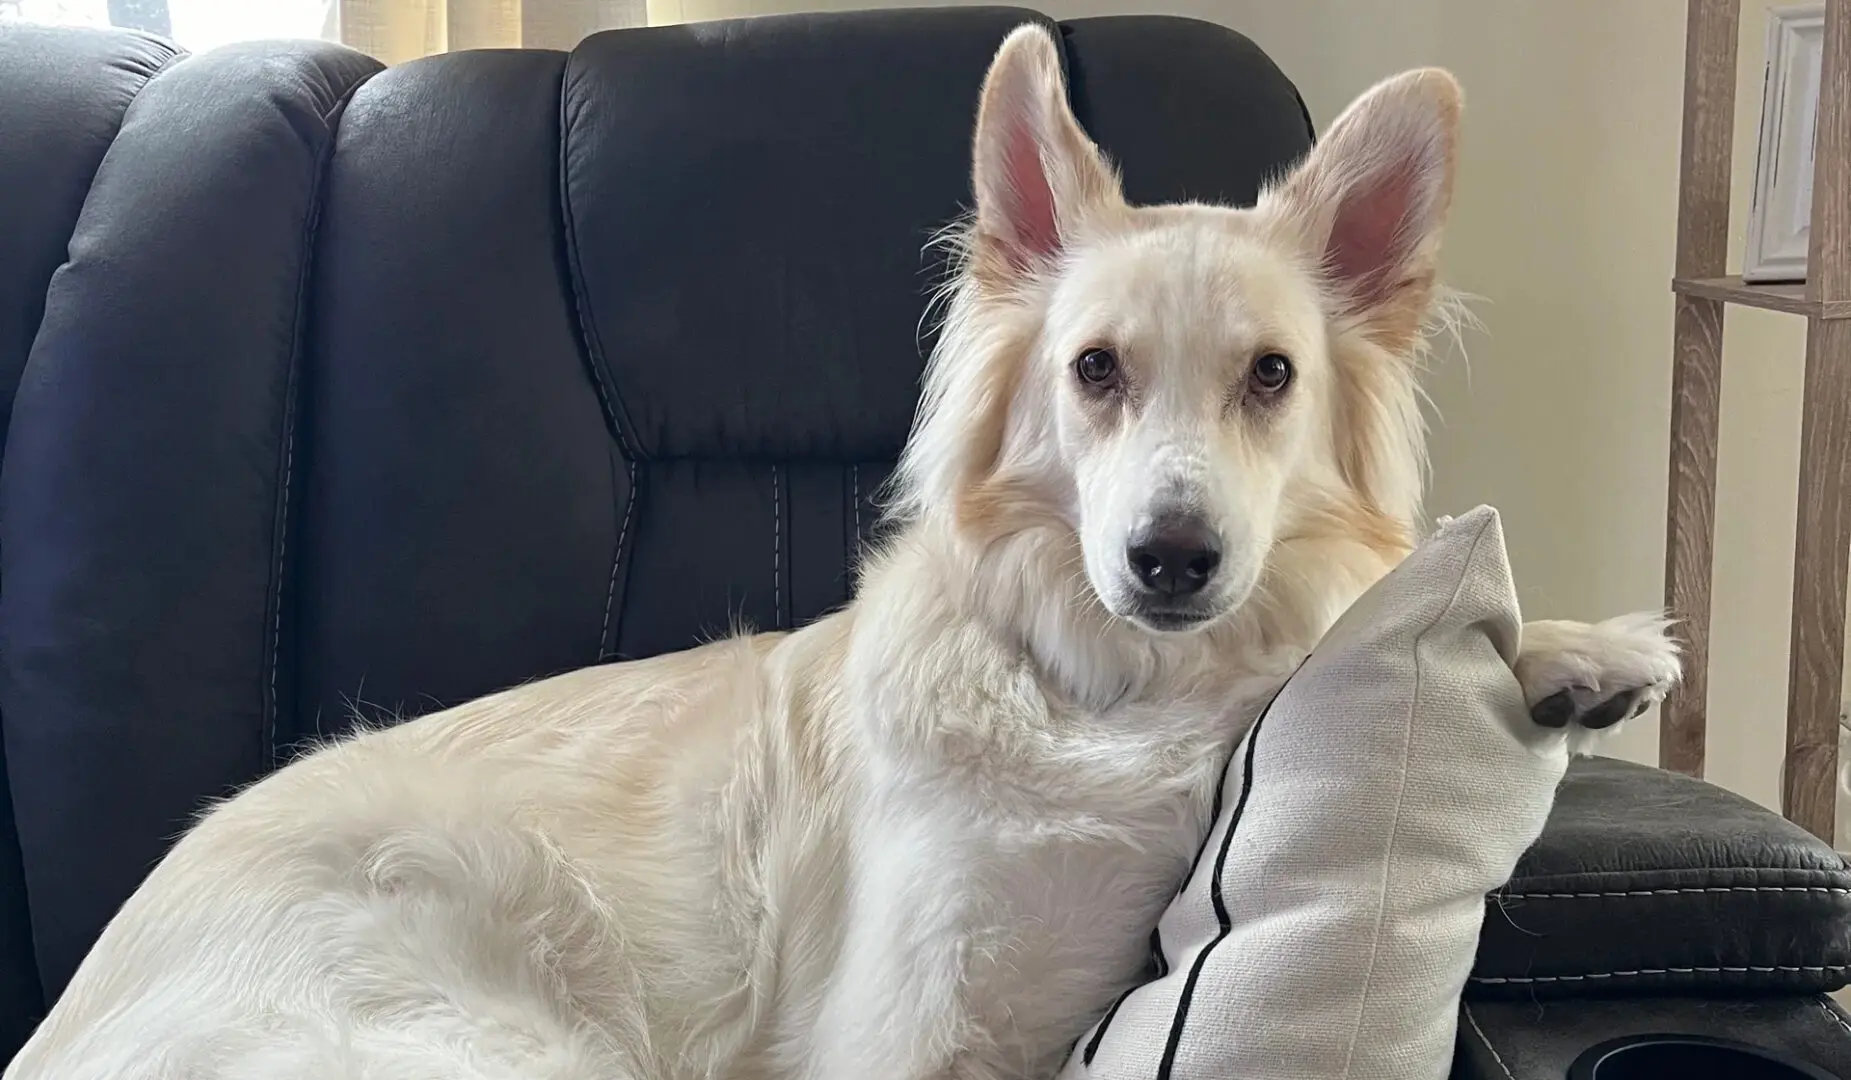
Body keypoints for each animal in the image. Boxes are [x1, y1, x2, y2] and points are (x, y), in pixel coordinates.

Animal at [7, 23, 1680, 1080]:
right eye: (1093, 370)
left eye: (1269, 376)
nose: (1170, 560)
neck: (1102, 691)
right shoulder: (905, 1034)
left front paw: (1577, 651)